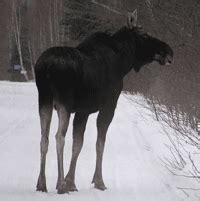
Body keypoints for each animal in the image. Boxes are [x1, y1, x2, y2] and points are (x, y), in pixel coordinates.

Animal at [34, 10, 173, 194]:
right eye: (144, 34)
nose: (169, 52)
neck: (124, 63)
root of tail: (46, 66)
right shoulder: (107, 106)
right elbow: (99, 143)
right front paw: (96, 181)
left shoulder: (82, 110)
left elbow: (78, 143)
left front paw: (71, 181)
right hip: (64, 102)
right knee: (59, 137)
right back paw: (61, 186)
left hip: (44, 99)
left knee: (44, 138)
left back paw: (42, 184)